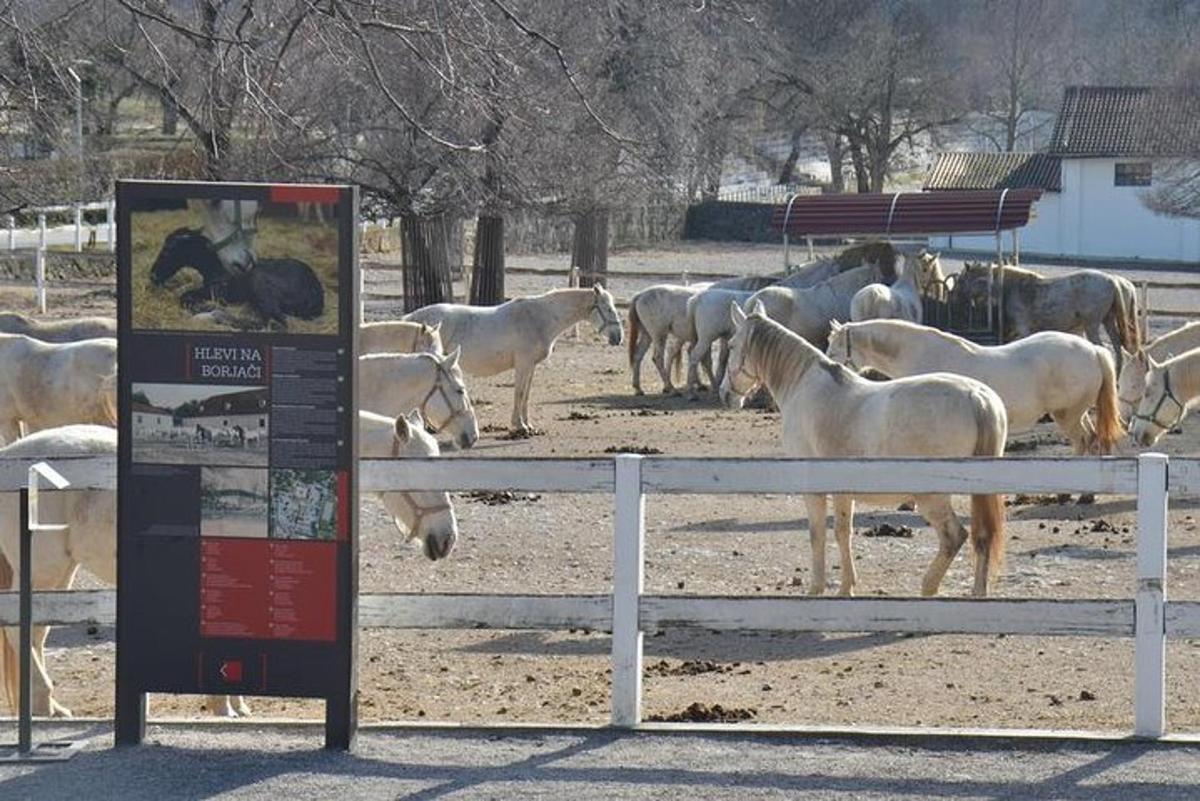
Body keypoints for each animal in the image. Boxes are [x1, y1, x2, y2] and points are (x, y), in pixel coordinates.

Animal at [408, 286, 624, 431]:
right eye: (608, 309)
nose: (618, 337)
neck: (539, 318)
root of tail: (413, 319)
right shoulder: (523, 364)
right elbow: (519, 393)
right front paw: (519, 426)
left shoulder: (531, 367)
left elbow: (526, 394)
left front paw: (528, 424)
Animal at [720, 303, 1012, 597]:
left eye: (732, 345)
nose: (725, 394)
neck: (805, 387)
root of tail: (977, 397)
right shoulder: (844, 491)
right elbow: (843, 532)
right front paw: (847, 586)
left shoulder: (814, 489)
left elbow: (818, 535)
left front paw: (818, 588)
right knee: (982, 537)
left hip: (932, 497)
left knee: (954, 536)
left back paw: (928, 586)